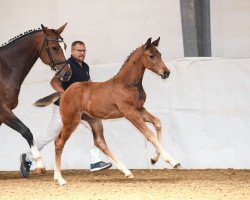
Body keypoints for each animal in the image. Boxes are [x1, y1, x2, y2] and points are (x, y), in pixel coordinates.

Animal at [0, 23, 71, 170]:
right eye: (54, 48)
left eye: (65, 46)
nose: (67, 73)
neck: (4, 71)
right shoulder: (3, 110)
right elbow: (26, 131)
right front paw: (39, 163)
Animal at [35, 36, 182, 185]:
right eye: (151, 56)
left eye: (160, 54)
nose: (166, 72)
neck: (127, 83)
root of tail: (64, 93)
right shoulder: (129, 112)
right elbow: (149, 134)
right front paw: (173, 161)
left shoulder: (140, 109)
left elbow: (157, 122)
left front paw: (154, 159)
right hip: (70, 121)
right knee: (59, 142)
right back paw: (59, 178)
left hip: (94, 121)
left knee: (100, 142)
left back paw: (126, 171)